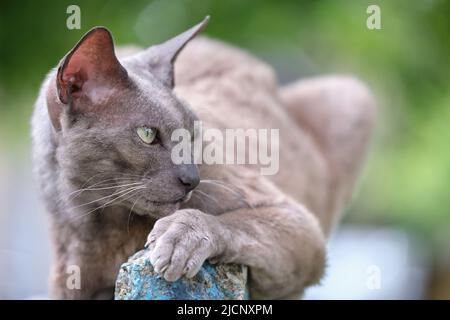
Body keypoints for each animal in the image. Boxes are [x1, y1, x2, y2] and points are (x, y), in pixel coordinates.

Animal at [32, 16, 376, 298]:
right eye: (148, 134)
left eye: (192, 133)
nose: (192, 179)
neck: (102, 222)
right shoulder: (68, 286)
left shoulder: (297, 221)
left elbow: (227, 220)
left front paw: (178, 239)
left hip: (350, 96)